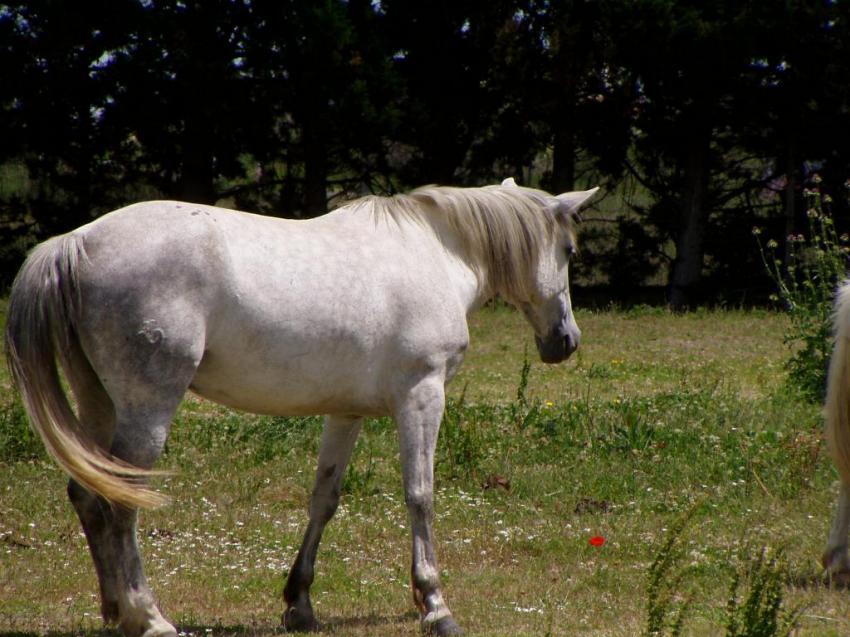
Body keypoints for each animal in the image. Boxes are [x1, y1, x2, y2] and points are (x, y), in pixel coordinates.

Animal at [5, 178, 597, 637]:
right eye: (569, 252)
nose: (565, 341)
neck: (437, 254)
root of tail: (77, 242)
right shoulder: (422, 396)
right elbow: (420, 495)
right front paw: (435, 606)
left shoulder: (346, 413)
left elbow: (324, 500)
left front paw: (300, 602)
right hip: (146, 406)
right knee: (123, 502)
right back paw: (148, 617)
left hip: (97, 399)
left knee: (88, 493)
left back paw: (113, 611)